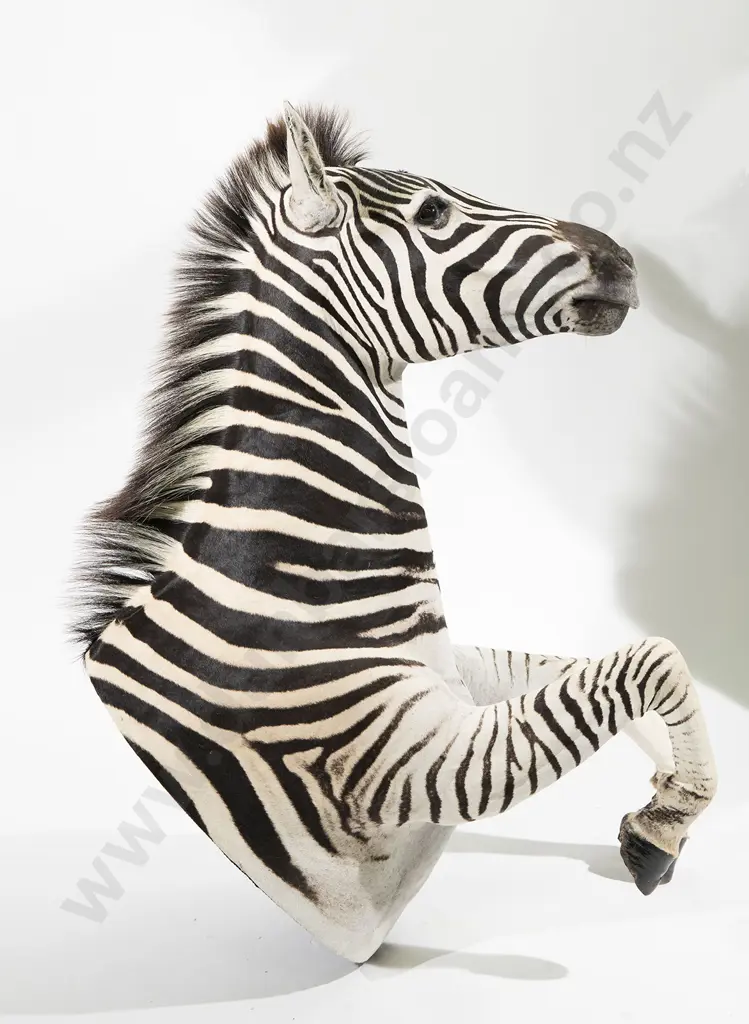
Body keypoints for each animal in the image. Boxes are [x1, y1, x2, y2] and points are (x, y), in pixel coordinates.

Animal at [71, 102, 717, 964]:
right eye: (433, 215)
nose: (623, 262)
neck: (283, 582)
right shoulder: (405, 764)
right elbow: (649, 662)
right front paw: (665, 823)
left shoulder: (454, 675)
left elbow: (637, 681)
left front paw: (662, 810)